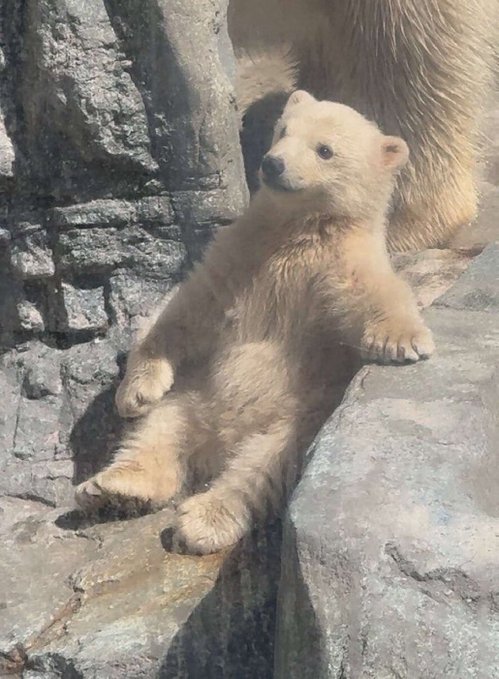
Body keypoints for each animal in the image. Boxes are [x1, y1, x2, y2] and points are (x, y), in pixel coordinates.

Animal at [75, 91, 434, 554]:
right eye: (284, 130)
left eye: (324, 149)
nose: (273, 164)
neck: (294, 232)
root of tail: (218, 438)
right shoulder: (239, 255)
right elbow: (187, 311)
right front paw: (135, 391)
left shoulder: (335, 264)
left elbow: (370, 292)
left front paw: (405, 341)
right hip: (194, 393)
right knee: (157, 431)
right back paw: (114, 488)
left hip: (299, 417)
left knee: (265, 465)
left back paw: (204, 518)